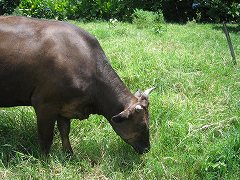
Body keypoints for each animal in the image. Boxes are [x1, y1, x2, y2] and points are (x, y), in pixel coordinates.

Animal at [0, 16, 155, 155]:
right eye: (142, 125)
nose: (147, 149)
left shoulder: (65, 106)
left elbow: (64, 131)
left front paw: (69, 154)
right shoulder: (44, 104)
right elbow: (46, 138)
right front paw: (44, 160)